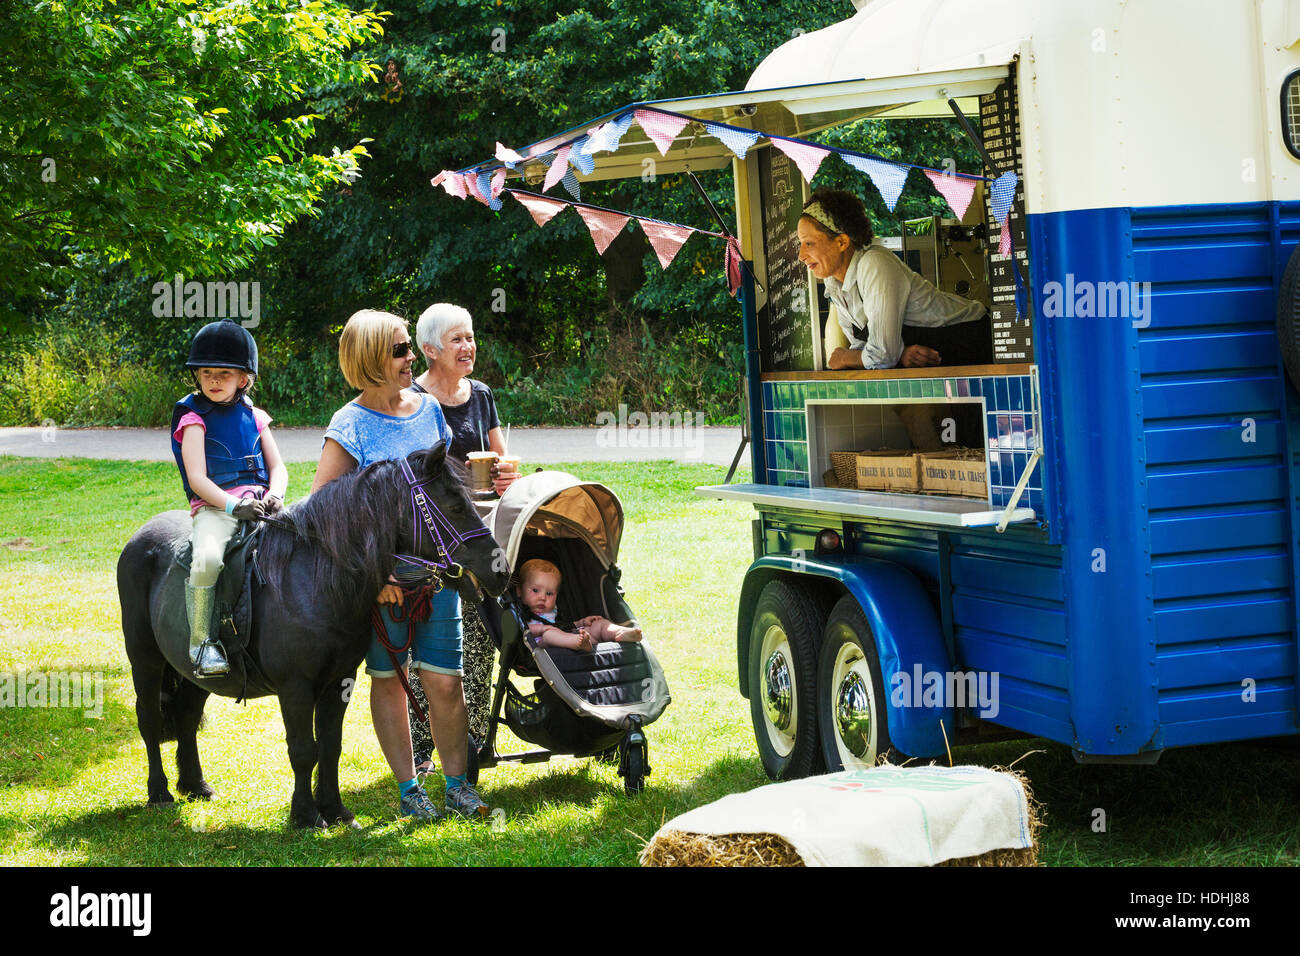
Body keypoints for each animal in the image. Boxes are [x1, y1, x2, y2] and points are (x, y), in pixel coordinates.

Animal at [116, 444, 504, 827]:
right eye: (456, 506)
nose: (499, 567)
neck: (313, 581)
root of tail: (140, 537)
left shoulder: (338, 682)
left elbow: (330, 747)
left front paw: (334, 809)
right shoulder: (296, 687)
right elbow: (303, 750)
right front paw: (304, 814)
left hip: (194, 672)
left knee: (186, 716)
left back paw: (195, 785)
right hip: (145, 660)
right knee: (149, 719)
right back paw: (159, 793)